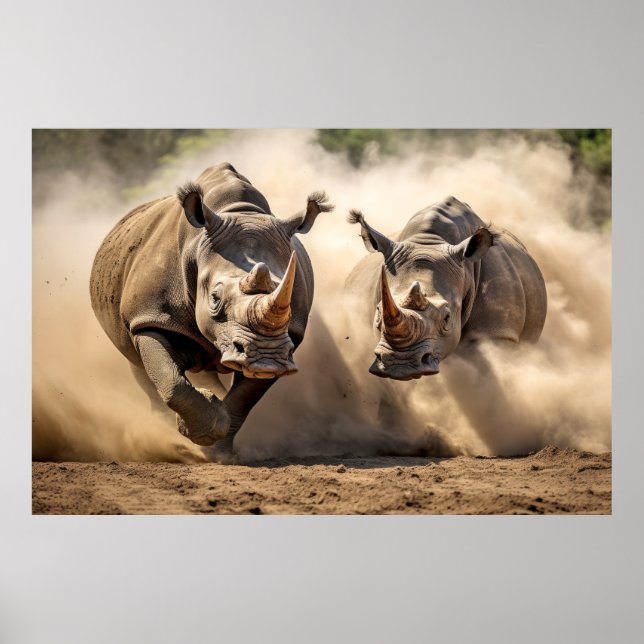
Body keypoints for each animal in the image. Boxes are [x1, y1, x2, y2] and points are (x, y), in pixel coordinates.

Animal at [90, 162, 332, 456]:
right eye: (215, 298)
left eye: (289, 288)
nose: (266, 357)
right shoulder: (150, 318)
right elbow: (169, 379)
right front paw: (203, 428)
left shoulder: (288, 339)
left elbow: (244, 398)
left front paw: (218, 450)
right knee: (139, 367)